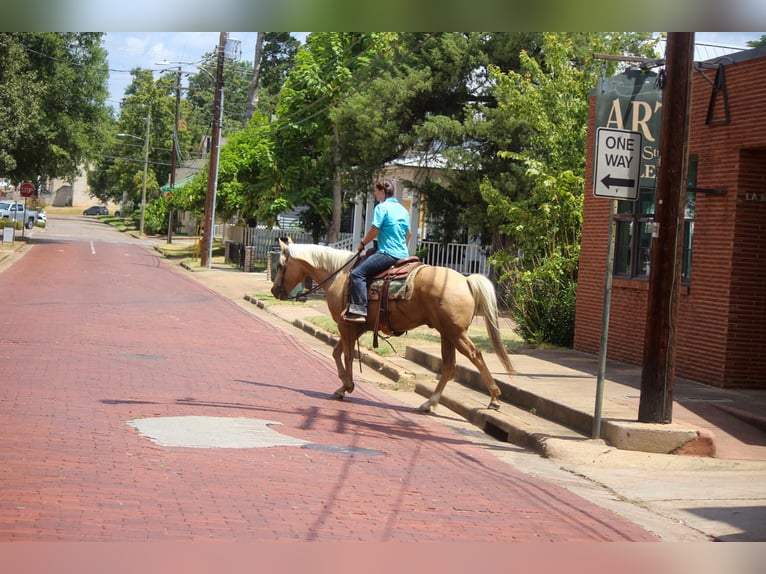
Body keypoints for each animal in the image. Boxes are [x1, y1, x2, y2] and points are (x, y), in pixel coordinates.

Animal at [270, 238, 516, 414]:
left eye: (281, 265)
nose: (274, 290)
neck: (339, 274)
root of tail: (465, 281)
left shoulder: (345, 325)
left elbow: (347, 355)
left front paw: (346, 386)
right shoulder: (355, 327)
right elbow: (337, 352)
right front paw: (343, 384)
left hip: (455, 333)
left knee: (475, 356)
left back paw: (494, 398)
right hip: (447, 334)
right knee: (449, 367)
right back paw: (429, 403)